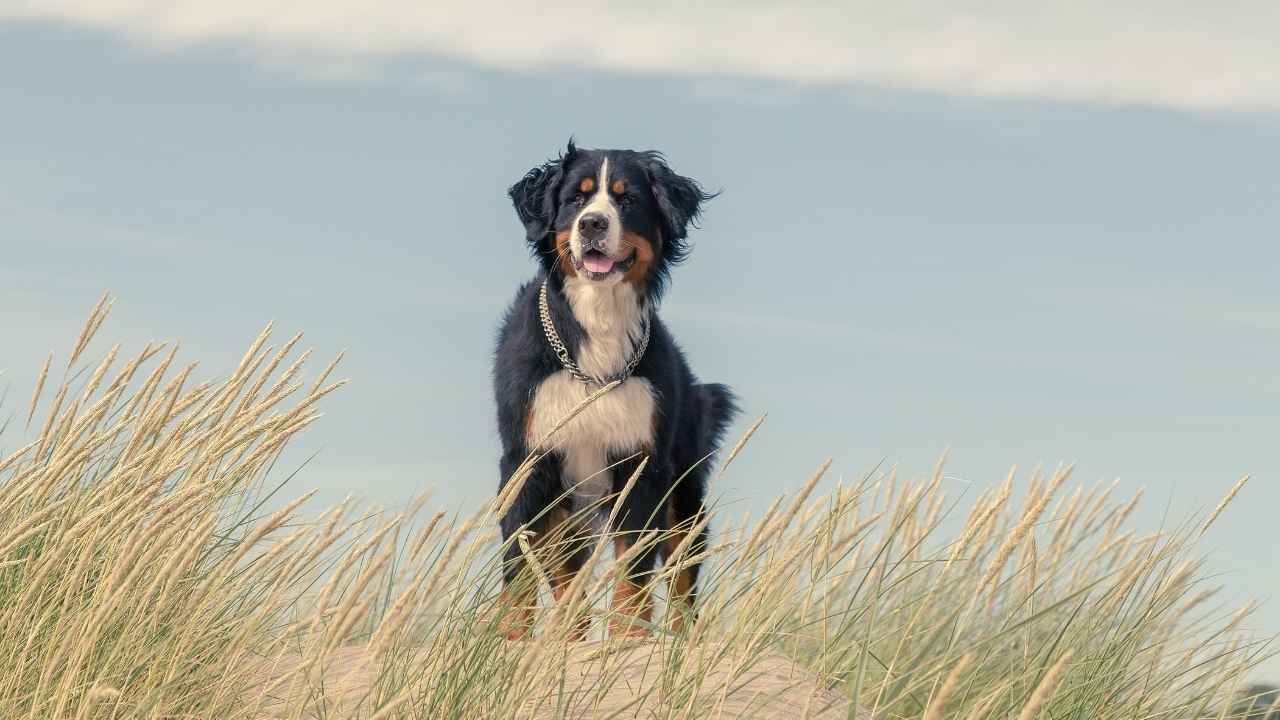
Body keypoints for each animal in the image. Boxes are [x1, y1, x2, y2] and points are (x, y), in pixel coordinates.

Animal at [491, 141, 737, 638]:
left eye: (627, 199)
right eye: (575, 198)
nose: (592, 224)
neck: (598, 321)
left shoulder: (641, 462)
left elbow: (634, 571)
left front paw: (628, 641)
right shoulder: (528, 459)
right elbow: (521, 566)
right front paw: (510, 641)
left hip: (683, 497)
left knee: (682, 579)